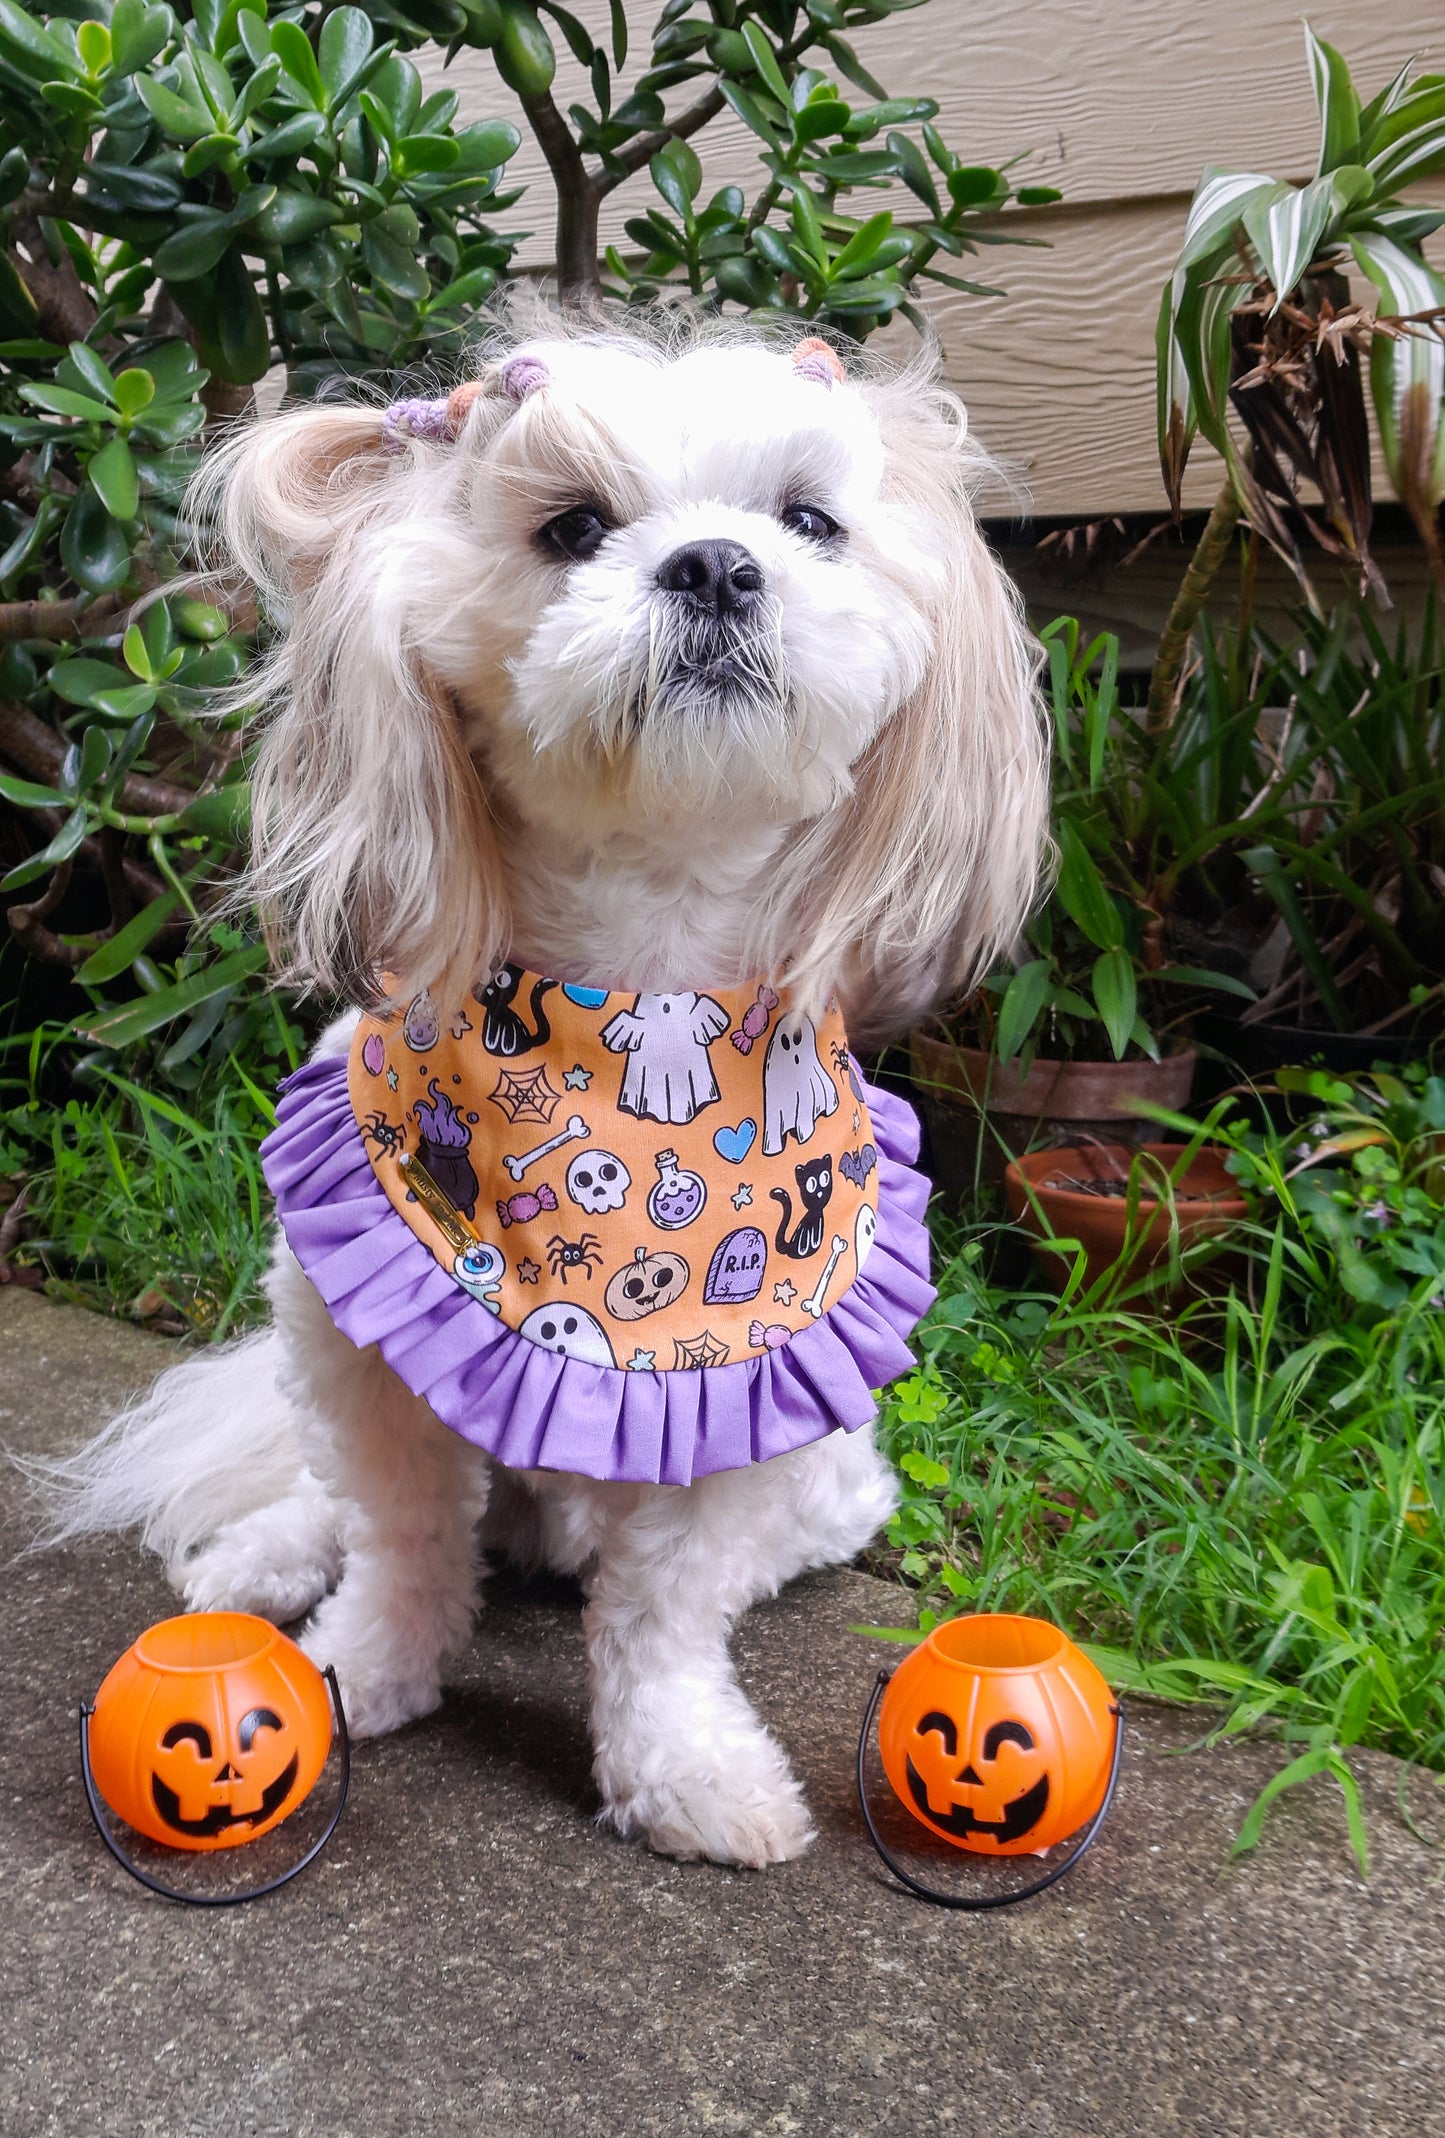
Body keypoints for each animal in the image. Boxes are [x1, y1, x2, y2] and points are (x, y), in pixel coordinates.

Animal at [39, 310, 1043, 1864]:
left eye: (808, 522)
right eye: (572, 527)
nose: (715, 564)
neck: (631, 983)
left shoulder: (729, 1381)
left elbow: (667, 1613)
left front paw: (685, 1770)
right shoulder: (363, 1334)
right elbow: (397, 1535)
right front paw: (356, 1670)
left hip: (838, 1472)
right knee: (345, 1497)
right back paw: (265, 1554)